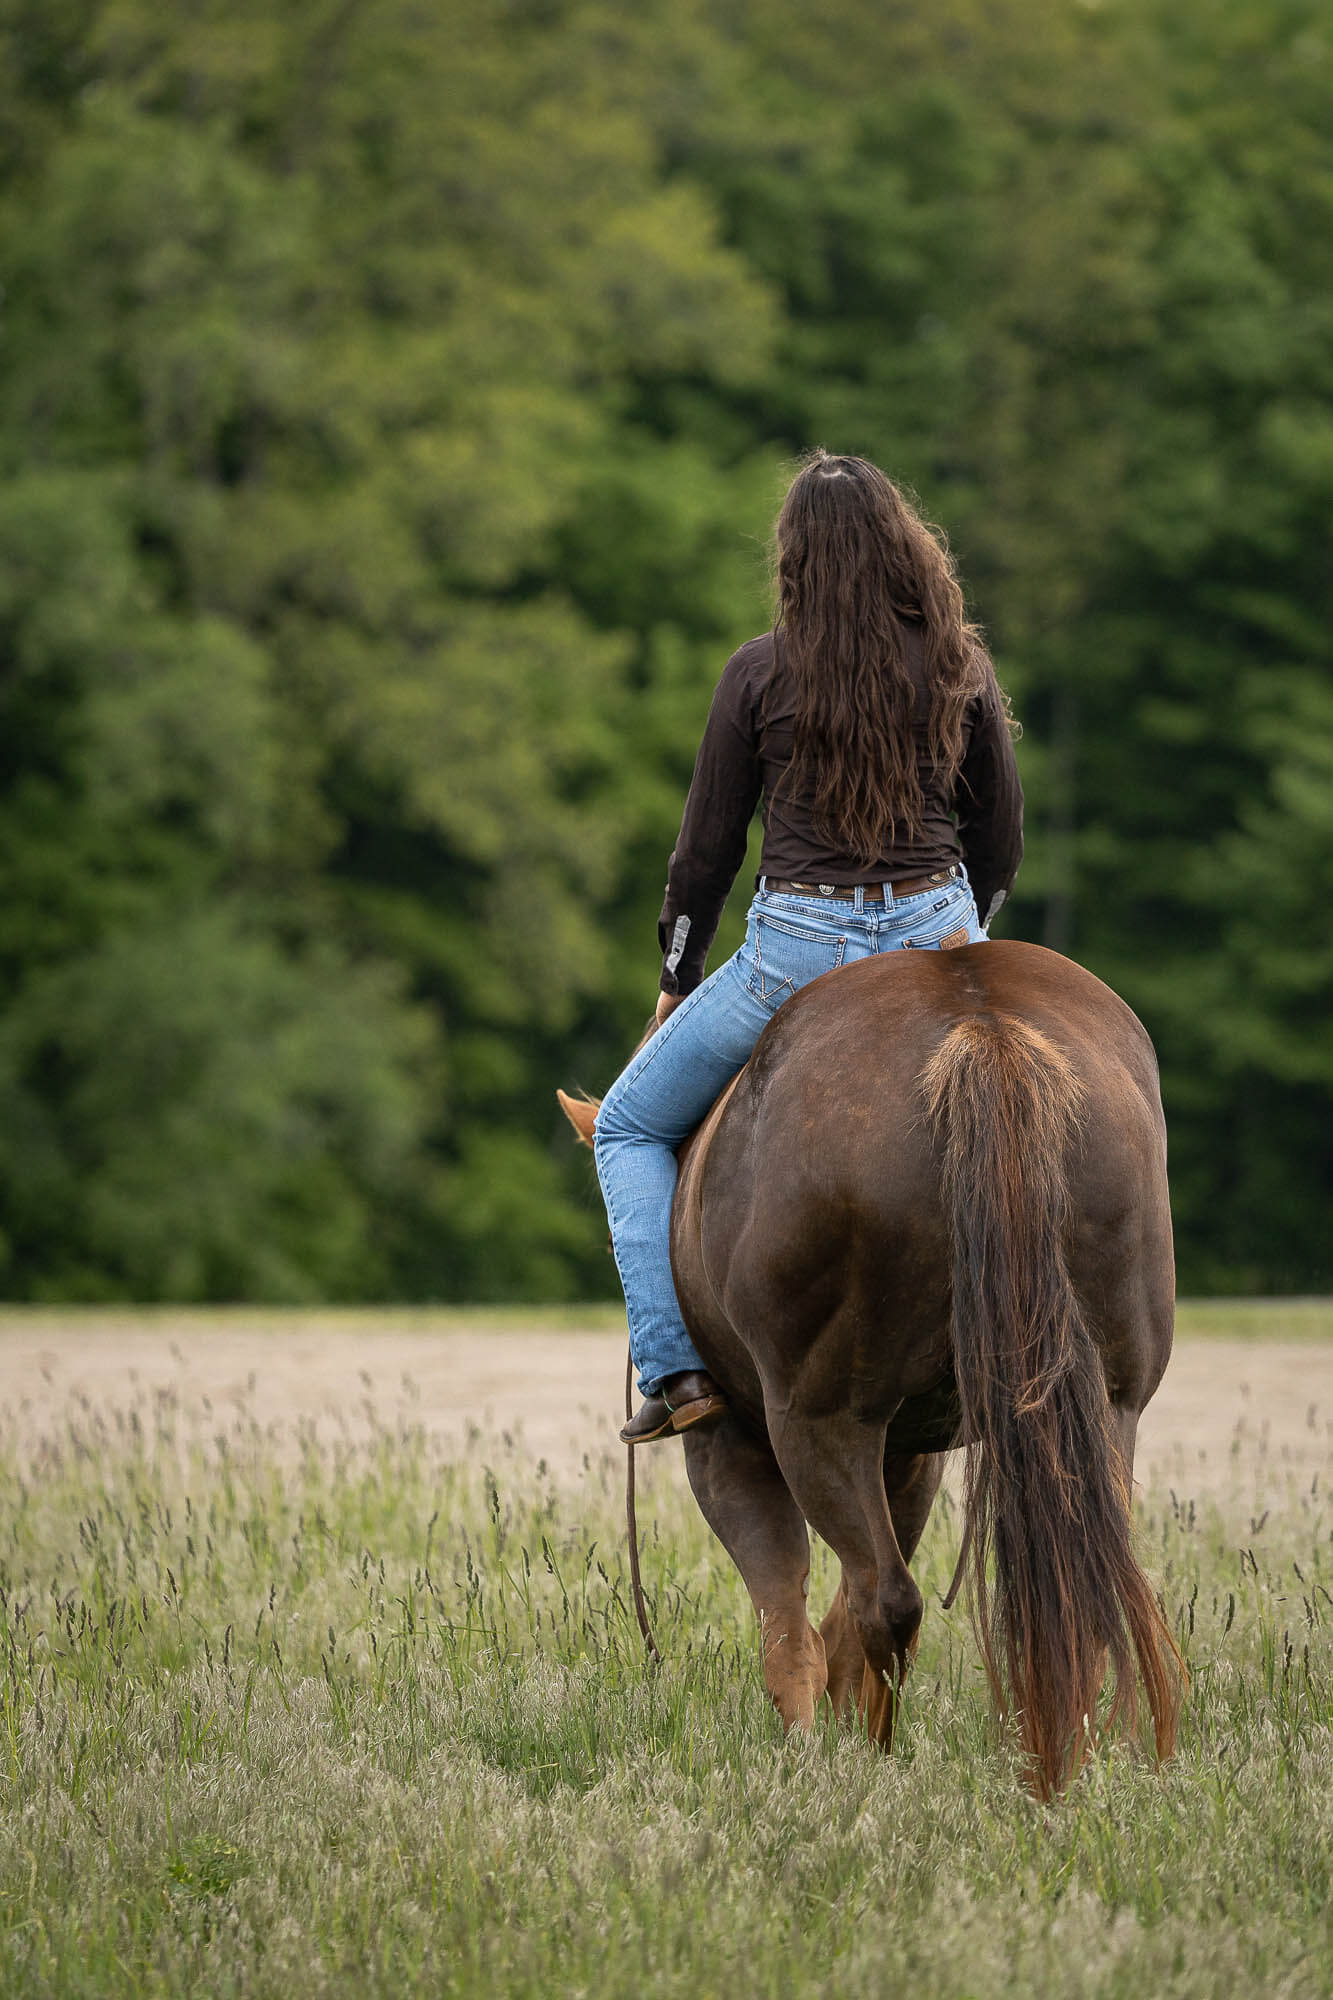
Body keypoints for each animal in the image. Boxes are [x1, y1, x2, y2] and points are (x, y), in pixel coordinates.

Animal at [559, 939, 1183, 1797]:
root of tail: (980, 1028)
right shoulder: (910, 1453)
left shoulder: (728, 1448)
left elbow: (786, 1623)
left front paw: (804, 1755)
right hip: (1108, 1406)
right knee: (1062, 1591)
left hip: (816, 1420)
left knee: (883, 1600)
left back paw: (876, 1769)